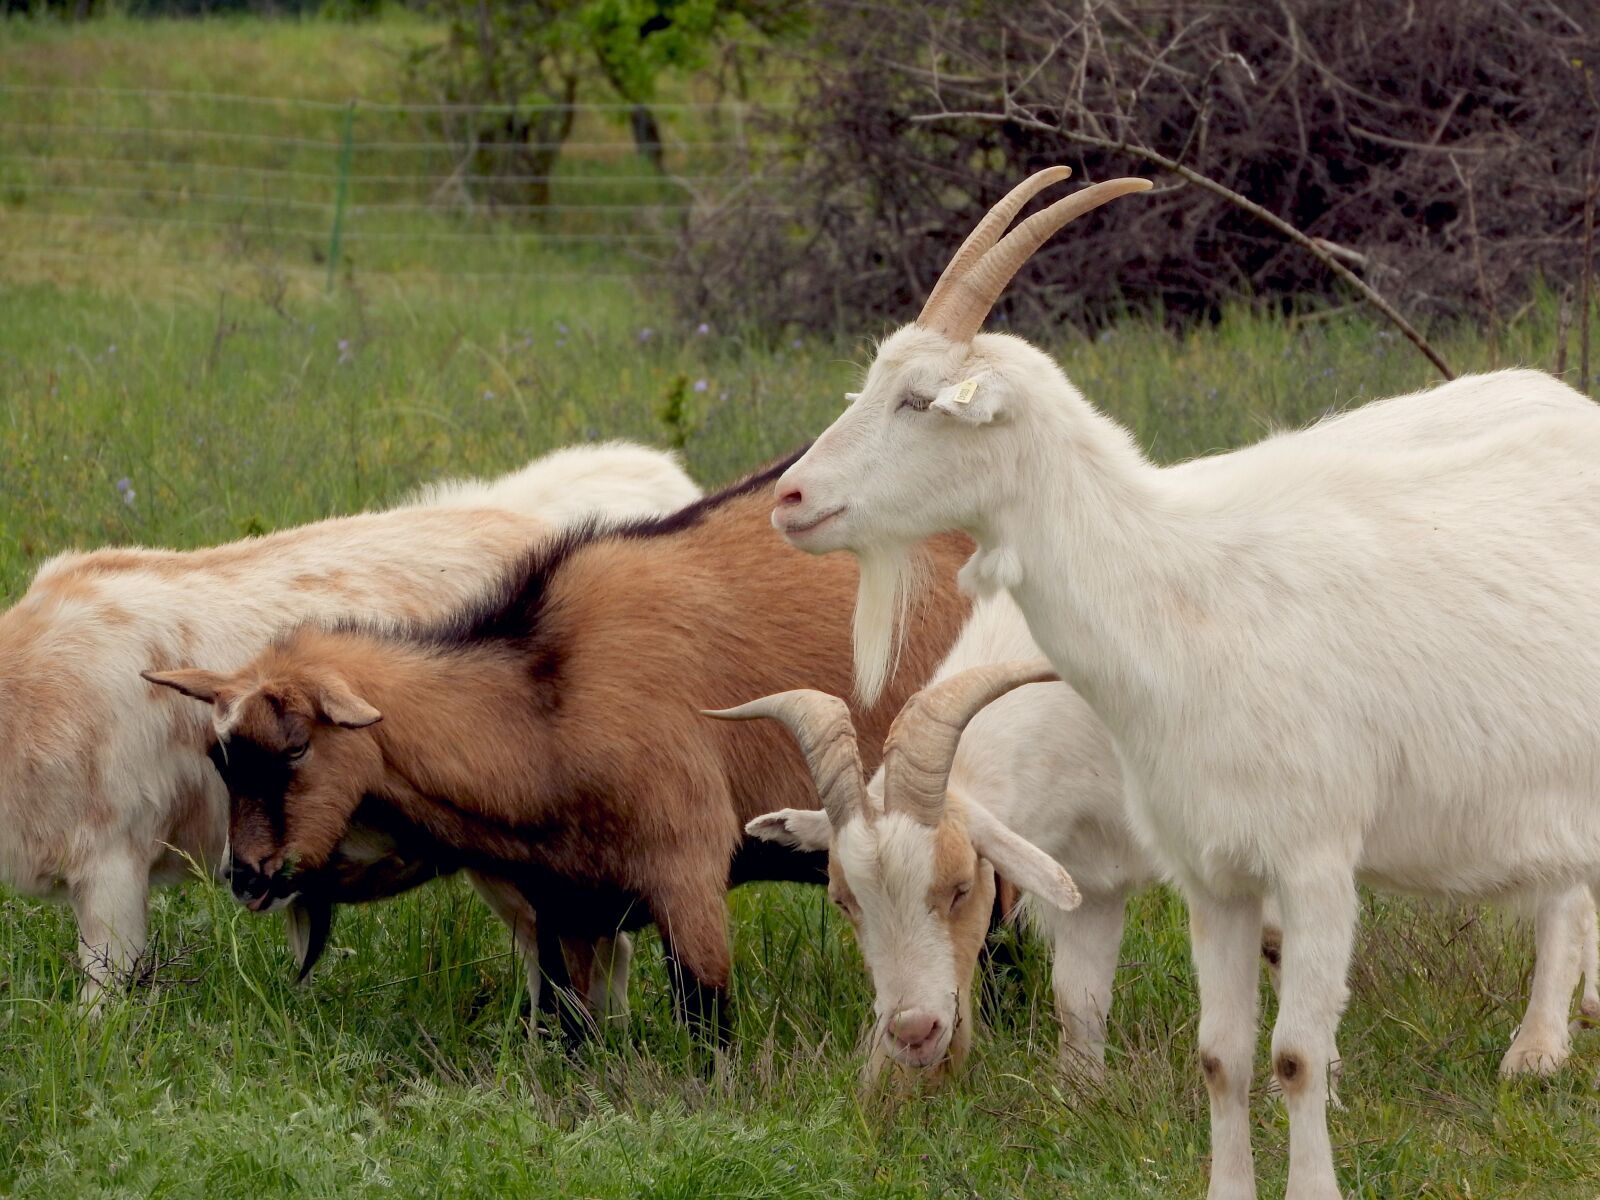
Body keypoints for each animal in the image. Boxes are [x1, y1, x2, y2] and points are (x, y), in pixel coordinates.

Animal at [150, 454, 966, 1036]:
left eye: (295, 748)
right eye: (222, 758)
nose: (247, 877)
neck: (549, 702)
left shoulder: (688, 875)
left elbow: (708, 1024)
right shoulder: (566, 907)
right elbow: (569, 1030)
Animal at [768, 162, 1600, 1200]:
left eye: (919, 400)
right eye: (842, 900)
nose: (790, 497)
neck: (1183, 588)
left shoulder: (1314, 859)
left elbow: (1296, 1054)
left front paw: (1316, 1178)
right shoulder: (1210, 870)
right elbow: (1220, 1054)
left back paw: (1536, 1050)